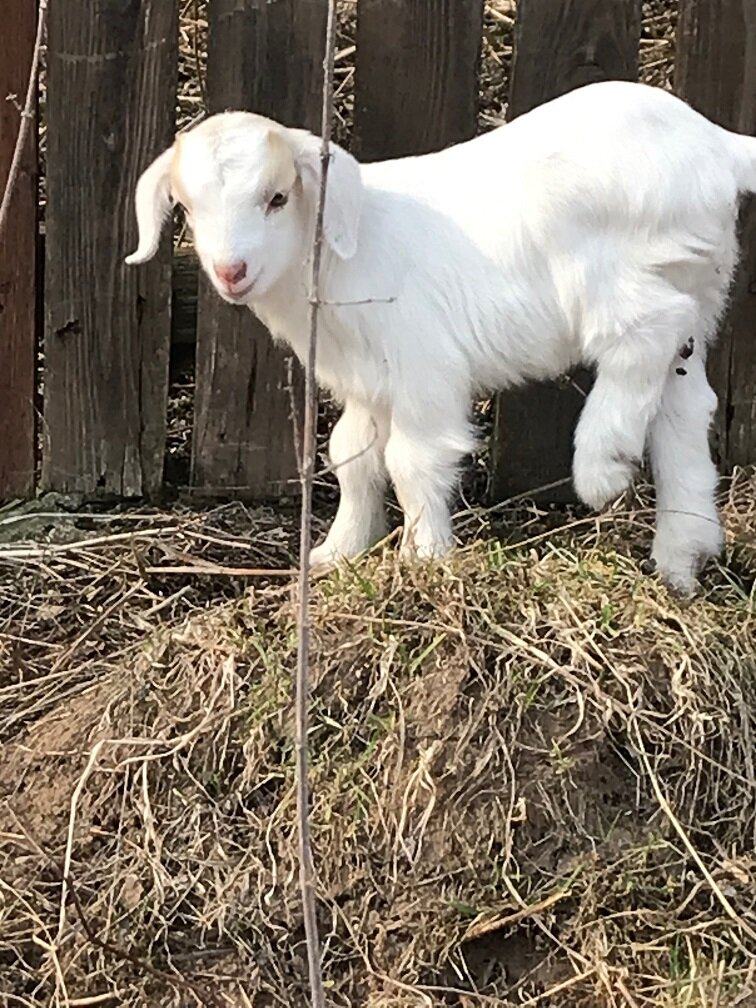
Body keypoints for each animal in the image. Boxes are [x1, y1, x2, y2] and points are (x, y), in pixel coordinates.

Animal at [126, 79, 756, 595]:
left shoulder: (422, 367)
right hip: (696, 283)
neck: (340, 256)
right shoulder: (367, 383)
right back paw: (682, 558)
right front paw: (338, 552)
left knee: (647, 328)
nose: (231, 271)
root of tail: (717, 145)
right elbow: (352, 456)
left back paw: (603, 465)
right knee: (684, 404)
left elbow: (412, 461)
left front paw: (423, 559)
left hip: (612, 275)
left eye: (277, 198)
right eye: (188, 207)